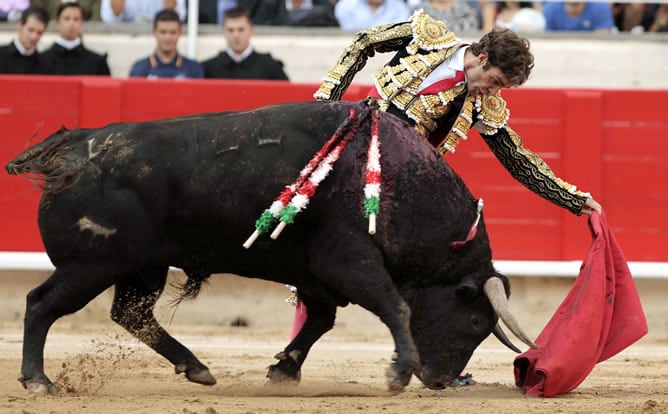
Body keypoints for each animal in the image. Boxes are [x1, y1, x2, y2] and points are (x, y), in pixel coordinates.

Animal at [5, 98, 536, 392]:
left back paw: (197, 368)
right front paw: (398, 373)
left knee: (131, 314)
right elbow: (395, 307)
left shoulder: (318, 273)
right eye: (474, 323)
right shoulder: (349, 261)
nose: (441, 380)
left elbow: (321, 321)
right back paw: (38, 380)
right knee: (41, 304)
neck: (400, 186)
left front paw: (284, 369)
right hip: (92, 264)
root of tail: (75, 146)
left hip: (141, 267)